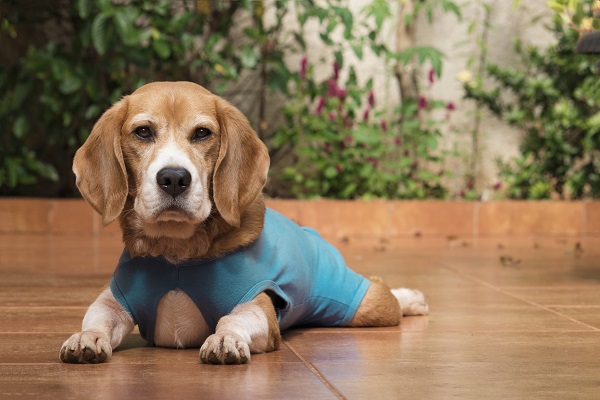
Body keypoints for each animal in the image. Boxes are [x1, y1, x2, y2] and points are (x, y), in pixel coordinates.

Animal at [58, 82, 428, 366]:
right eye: (143, 132)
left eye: (202, 133)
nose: (174, 178)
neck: (176, 252)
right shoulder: (114, 299)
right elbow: (97, 316)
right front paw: (87, 337)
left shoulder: (259, 307)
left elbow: (231, 317)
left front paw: (224, 338)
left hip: (361, 304)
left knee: (383, 291)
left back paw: (410, 297)